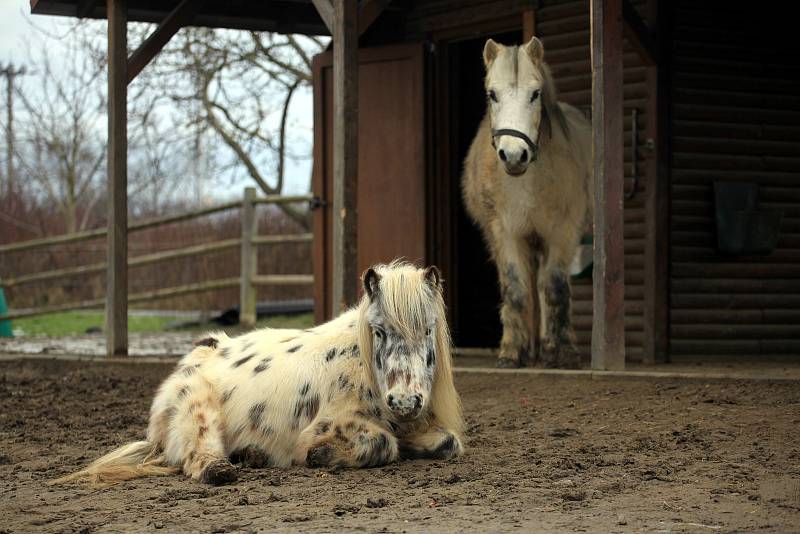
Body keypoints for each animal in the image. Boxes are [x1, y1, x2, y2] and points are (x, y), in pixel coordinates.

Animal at [56, 262, 466, 488]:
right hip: (198, 412)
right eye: (378, 331)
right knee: (199, 459)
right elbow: (381, 443)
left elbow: (447, 442)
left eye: (428, 329)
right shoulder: (331, 424)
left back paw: (251, 455)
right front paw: (321, 455)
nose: (405, 401)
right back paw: (229, 465)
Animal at [460, 36, 592, 368]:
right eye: (491, 94)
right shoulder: (505, 233)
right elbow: (517, 288)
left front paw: (563, 352)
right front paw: (511, 352)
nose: (513, 155)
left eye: (535, 94)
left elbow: (555, 287)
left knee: (547, 284)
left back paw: (548, 349)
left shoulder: (562, 232)